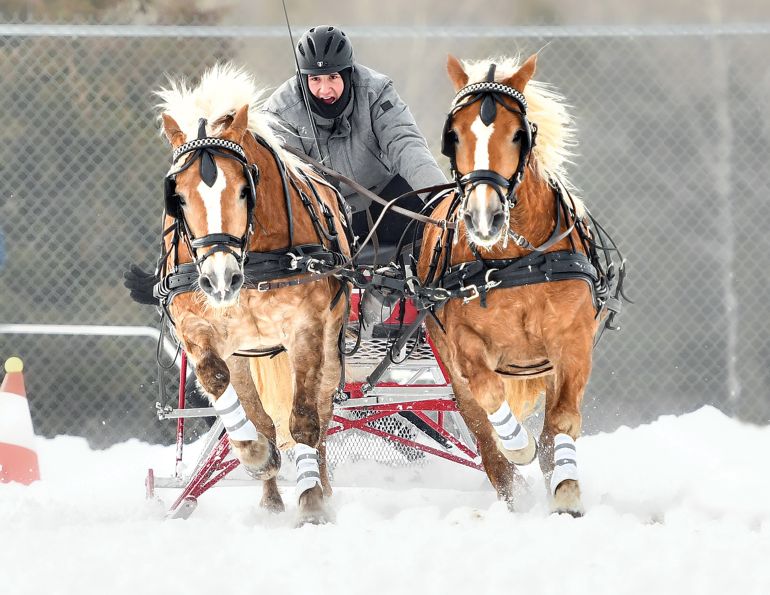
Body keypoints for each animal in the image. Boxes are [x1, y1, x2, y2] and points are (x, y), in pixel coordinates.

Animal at [153, 64, 350, 524]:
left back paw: (321, 485)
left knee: (322, 410)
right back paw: (271, 497)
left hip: (328, 345)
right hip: (247, 355)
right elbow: (218, 383)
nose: (220, 278)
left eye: (245, 189)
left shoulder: (305, 328)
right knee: (258, 414)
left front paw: (312, 501)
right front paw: (257, 456)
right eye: (178, 197)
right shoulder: (196, 325)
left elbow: (304, 420)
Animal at [418, 54, 612, 516]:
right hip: (454, 377)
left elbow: (562, 422)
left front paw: (566, 492)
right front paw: (517, 446)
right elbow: (490, 397)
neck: (516, 262)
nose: (483, 218)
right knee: (486, 445)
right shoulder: (464, 346)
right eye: (453, 135)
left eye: (519, 134)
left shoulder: (572, 341)